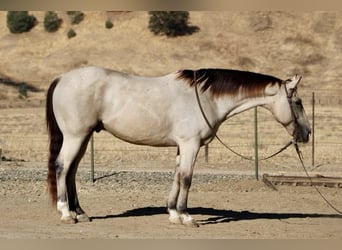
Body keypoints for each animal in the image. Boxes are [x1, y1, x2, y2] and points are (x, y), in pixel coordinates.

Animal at [45, 66, 310, 227]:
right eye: (297, 102)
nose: (307, 134)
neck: (206, 98)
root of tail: (62, 78)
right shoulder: (190, 145)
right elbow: (187, 179)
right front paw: (186, 216)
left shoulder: (182, 147)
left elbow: (176, 176)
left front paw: (173, 213)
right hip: (75, 136)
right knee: (62, 167)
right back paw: (66, 213)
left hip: (83, 137)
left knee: (72, 171)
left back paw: (80, 212)